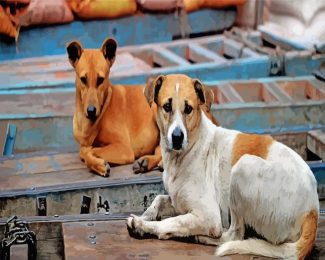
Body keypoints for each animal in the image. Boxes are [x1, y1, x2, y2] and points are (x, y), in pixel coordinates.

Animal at [66, 38, 161, 177]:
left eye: (100, 79)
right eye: (83, 79)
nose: (91, 111)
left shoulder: (124, 148)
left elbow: (89, 151)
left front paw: (98, 165)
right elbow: (84, 150)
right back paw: (146, 162)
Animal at [125, 73, 318, 260]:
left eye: (188, 109)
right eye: (166, 106)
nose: (177, 137)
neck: (185, 153)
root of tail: (313, 210)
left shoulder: (208, 216)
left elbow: (171, 221)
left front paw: (142, 225)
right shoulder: (179, 202)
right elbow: (158, 199)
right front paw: (147, 215)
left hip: (243, 167)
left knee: (234, 235)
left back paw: (201, 237)